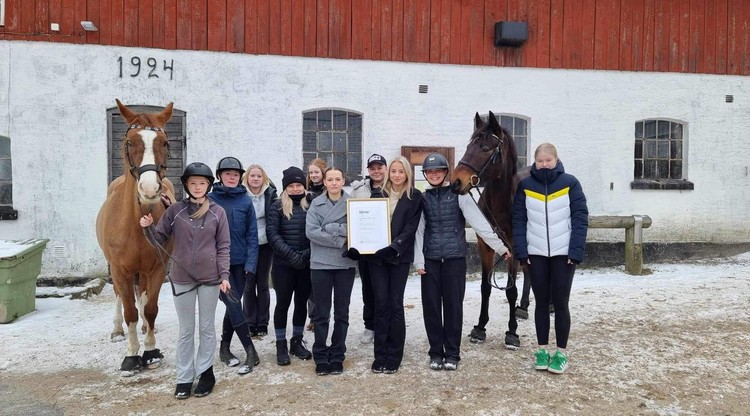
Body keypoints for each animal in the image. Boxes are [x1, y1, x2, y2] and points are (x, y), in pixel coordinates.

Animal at [94, 99, 175, 376]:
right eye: (129, 142)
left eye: (165, 143)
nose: (150, 189)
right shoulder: (120, 269)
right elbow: (129, 309)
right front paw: (131, 355)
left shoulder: (158, 267)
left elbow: (150, 308)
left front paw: (150, 351)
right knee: (120, 296)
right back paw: (118, 330)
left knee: (143, 296)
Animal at [450, 111, 532, 352]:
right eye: (469, 145)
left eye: (485, 148)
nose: (456, 181)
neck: (502, 205)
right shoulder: (485, 246)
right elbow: (485, 286)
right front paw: (480, 327)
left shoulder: (513, 248)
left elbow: (510, 290)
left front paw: (512, 333)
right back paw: (523, 307)